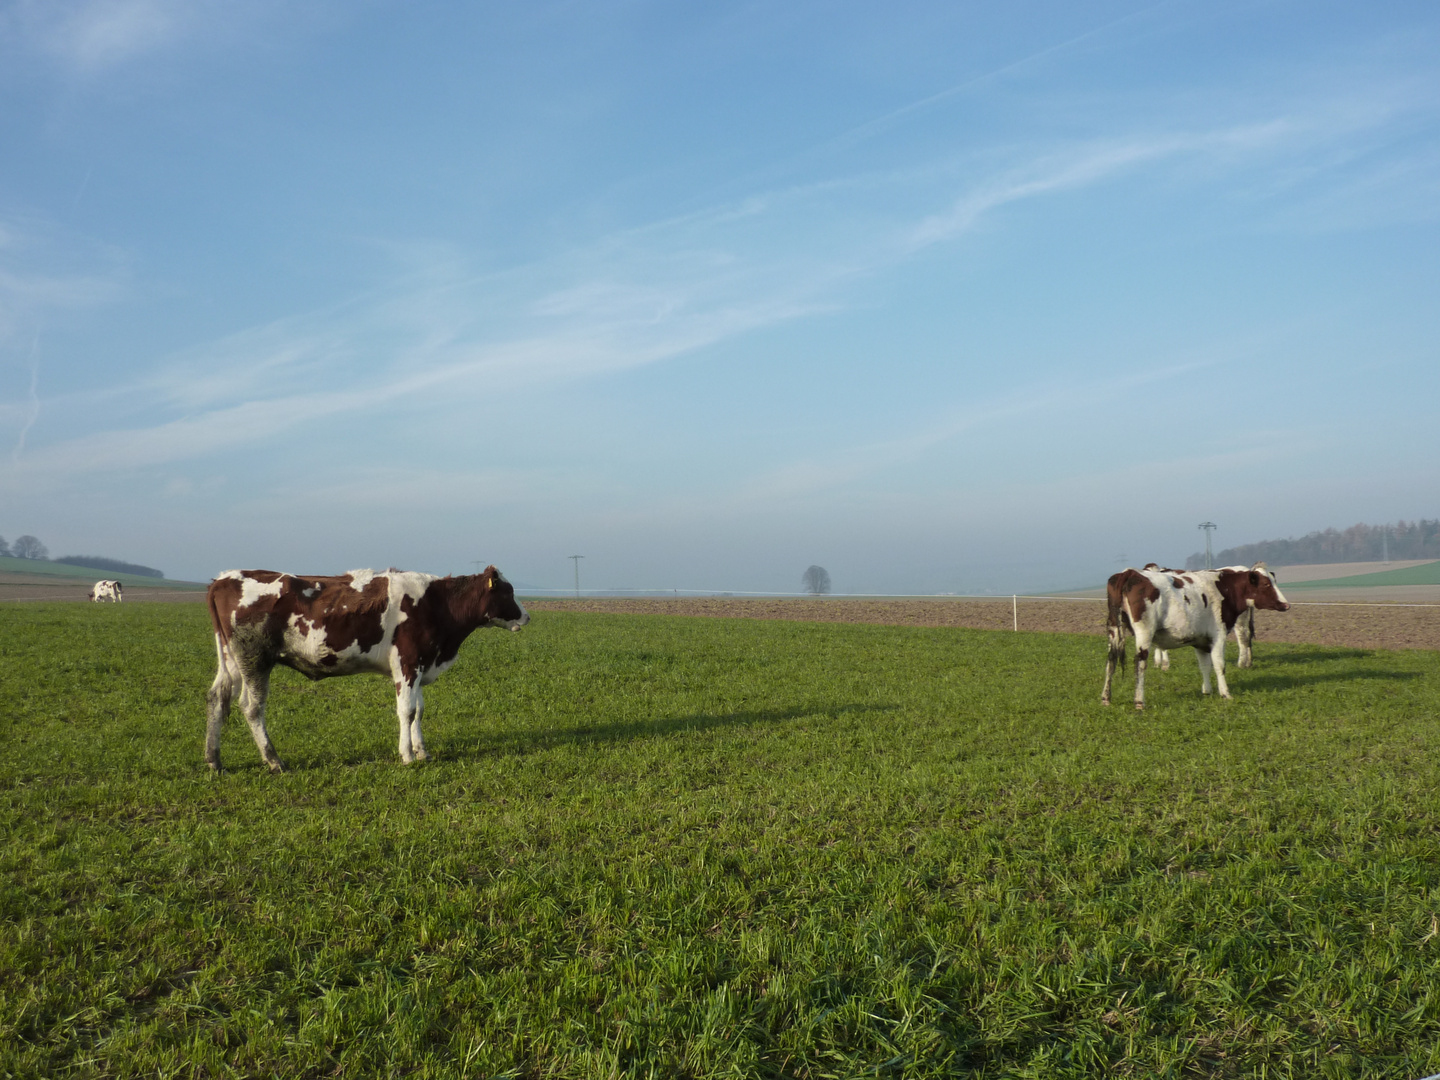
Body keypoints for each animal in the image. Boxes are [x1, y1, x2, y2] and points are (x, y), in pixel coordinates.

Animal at [208, 570, 529, 771]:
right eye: (509, 591)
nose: (527, 617)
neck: (437, 605)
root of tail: (225, 578)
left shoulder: (421, 664)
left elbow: (419, 710)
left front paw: (422, 751)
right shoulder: (407, 662)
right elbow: (406, 711)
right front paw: (407, 755)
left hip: (231, 660)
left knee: (217, 698)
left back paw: (214, 759)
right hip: (254, 659)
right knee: (251, 707)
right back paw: (274, 760)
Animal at [1100, 567, 1296, 711]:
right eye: (1266, 584)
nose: (1286, 605)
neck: (1225, 588)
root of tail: (1130, 573)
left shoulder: (1200, 641)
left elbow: (1204, 665)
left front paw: (1207, 691)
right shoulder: (1218, 635)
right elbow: (1219, 664)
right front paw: (1225, 693)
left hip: (1113, 630)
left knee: (1110, 662)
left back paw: (1106, 698)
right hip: (1144, 632)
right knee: (1139, 664)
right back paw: (1139, 701)